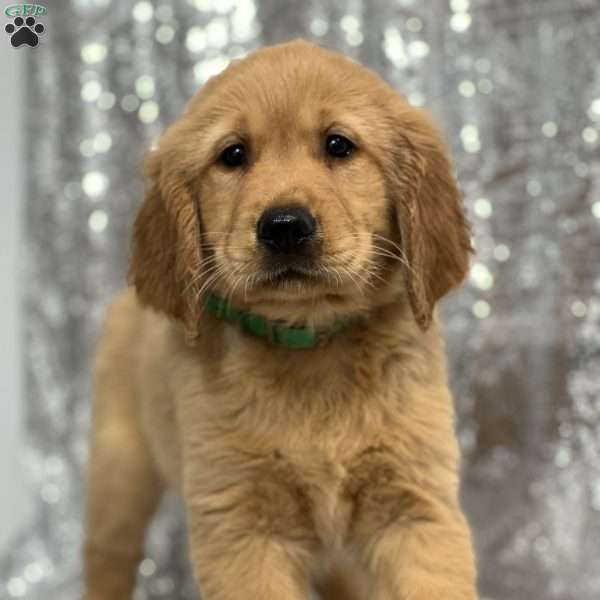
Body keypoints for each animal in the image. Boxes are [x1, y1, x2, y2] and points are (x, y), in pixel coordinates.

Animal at [84, 38, 478, 600]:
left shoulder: (415, 507)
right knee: (106, 559)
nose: (286, 226)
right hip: (119, 472)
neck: (311, 348)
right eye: (233, 155)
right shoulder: (241, 524)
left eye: (339, 145)